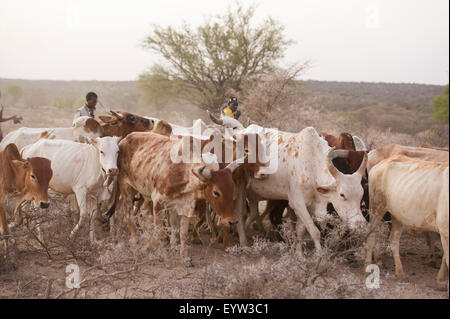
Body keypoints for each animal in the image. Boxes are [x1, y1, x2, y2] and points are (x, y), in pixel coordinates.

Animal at [114, 131, 244, 266]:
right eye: (216, 192)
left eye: (232, 189)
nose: (232, 221)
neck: (182, 171)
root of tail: (125, 139)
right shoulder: (158, 202)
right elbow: (158, 229)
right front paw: (150, 248)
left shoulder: (185, 206)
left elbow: (181, 232)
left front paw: (183, 257)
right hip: (125, 186)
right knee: (128, 215)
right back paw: (136, 240)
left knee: (144, 211)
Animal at [366, 155, 446, 292]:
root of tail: (381, 163)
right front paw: (441, 281)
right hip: (377, 208)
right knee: (371, 234)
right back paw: (367, 265)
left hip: (397, 216)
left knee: (393, 239)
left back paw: (400, 273)